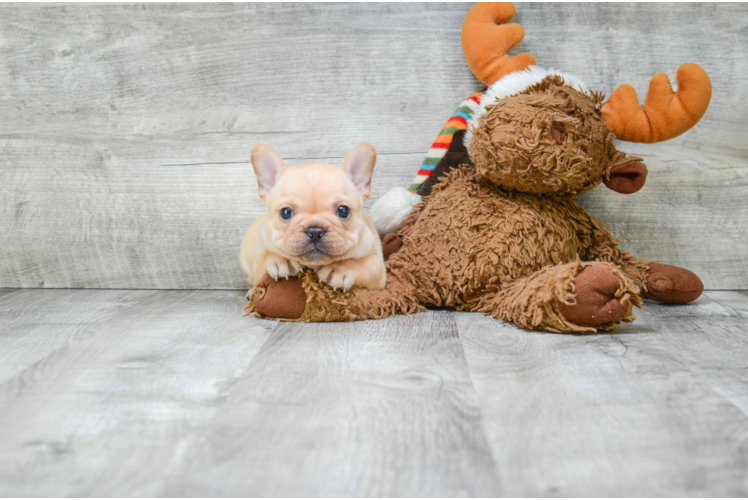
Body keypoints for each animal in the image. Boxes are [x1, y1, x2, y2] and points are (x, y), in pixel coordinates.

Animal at [241, 143, 386, 294]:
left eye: (343, 211)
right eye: (286, 212)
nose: (315, 231)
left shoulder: (377, 265)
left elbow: (363, 263)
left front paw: (339, 269)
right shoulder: (259, 260)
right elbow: (264, 258)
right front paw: (281, 260)